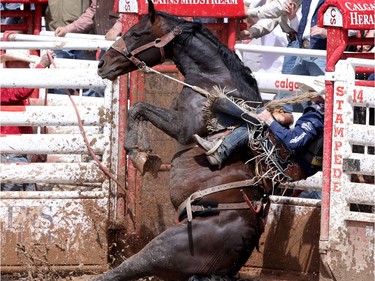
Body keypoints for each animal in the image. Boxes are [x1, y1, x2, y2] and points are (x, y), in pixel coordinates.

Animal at [93, 1, 270, 278]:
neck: (213, 78)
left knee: (124, 269)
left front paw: (140, 154)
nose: (102, 63)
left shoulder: (184, 128)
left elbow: (139, 108)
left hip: (164, 247)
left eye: (136, 33)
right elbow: (139, 110)